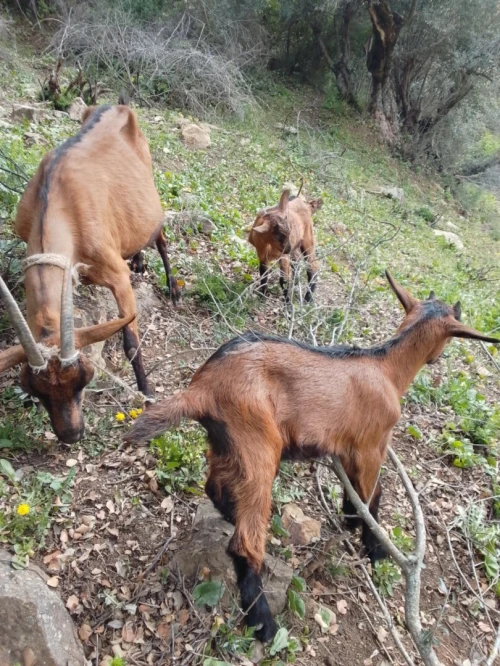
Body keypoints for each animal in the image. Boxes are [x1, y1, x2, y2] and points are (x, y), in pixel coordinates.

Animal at [0, 98, 180, 443]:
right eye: (36, 391)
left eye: (84, 379)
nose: (71, 434)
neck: (58, 202)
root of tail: (117, 106)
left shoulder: (116, 276)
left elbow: (131, 343)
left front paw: (147, 393)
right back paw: (138, 259)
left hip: (150, 188)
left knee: (159, 237)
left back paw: (174, 288)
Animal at [126, 271, 498, 641]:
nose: (437, 359)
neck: (387, 367)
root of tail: (201, 389)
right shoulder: (371, 446)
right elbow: (373, 496)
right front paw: (374, 548)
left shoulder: (346, 447)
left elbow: (356, 493)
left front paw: (350, 519)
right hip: (258, 444)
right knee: (243, 542)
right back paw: (263, 623)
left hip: (227, 444)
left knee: (213, 486)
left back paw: (231, 515)